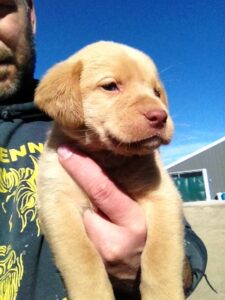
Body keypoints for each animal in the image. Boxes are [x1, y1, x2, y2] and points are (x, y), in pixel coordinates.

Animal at [34, 41, 185, 300]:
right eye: (110, 86)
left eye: (156, 92)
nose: (160, 116)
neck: (109, 158)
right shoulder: (57, 204)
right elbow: (83, 259)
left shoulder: (164, 196)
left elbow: (161, 255)